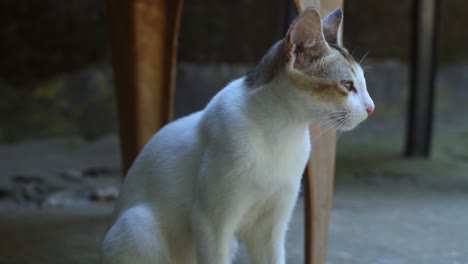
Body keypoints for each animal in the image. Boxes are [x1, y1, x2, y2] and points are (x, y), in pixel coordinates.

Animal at [101, 8, 372, 264]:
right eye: (347, 85)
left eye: (363, 83)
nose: (371, 107)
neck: (281, 132)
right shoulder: (212, 223)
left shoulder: (271, 227)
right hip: (138, 225)